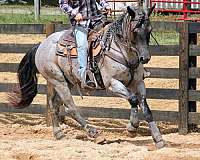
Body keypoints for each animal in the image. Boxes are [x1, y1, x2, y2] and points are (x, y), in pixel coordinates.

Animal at [8, 5, 166, 149]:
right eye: (134, 30)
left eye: (150, 30)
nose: (145, 58)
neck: (123, 53)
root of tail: (41, 45)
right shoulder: (112, 84)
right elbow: (133, 99)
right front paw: (132, 127)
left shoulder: (138, 83)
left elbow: (146, 108)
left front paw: (158, 139)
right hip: (58, 80)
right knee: (70, 107)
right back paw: (95, 133)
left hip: (67, 81)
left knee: (54, 105)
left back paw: (58, 133)